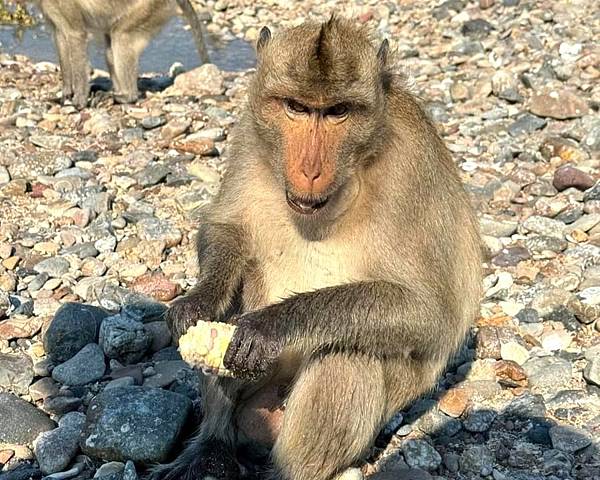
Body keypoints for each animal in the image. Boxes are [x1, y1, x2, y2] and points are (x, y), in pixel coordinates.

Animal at [37, 0, 211, 108]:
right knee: (110, 49)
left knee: (121, 36)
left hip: (148, 9)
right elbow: (60, 37)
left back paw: (127, 96)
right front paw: (66, 93)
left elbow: (76, 35)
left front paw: (79, 102)